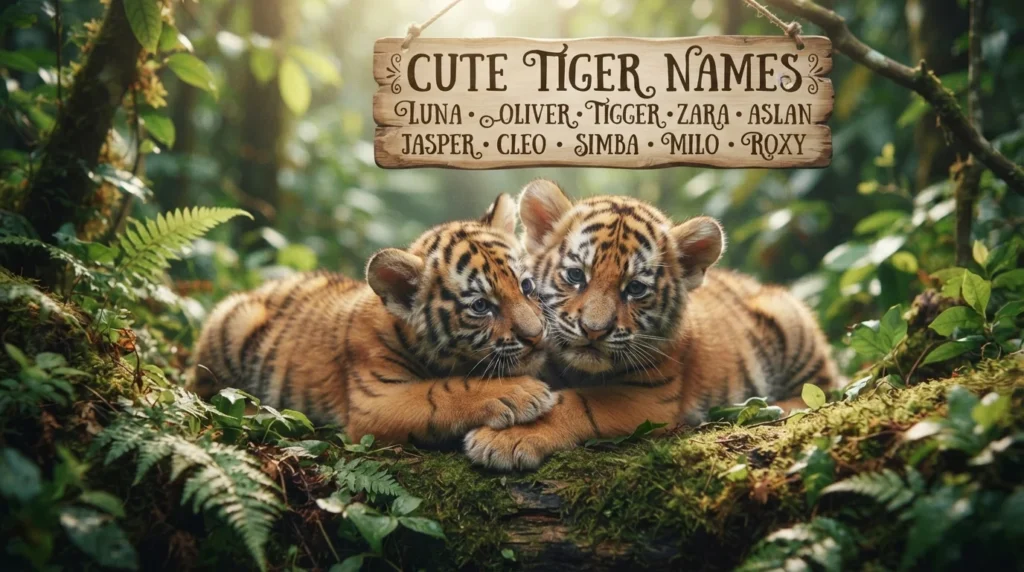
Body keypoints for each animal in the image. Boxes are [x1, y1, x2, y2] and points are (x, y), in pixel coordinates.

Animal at [189, 194, 556, 445]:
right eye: (481, 306)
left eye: (525, 286)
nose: (536, 335)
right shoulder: (375, 401)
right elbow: (442, 391)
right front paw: (521, 393)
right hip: (234, 324)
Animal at [465, 180, 839, 470]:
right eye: (575, 276)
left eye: (635, 288)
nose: (594, 330)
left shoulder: (645, 398)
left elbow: (575, 405)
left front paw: (504, 440)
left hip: (790, 318)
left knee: (821, 391)